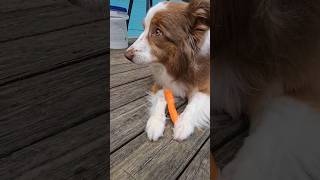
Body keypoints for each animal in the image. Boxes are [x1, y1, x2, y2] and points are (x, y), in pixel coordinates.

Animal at [123, 0, 210, 141]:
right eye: (144, 27)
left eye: (158, 32)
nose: (126, 55)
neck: (178, 66)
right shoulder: (160, 83)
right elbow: (160, 98)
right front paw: (155, 123)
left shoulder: (206, 89)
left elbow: (193, 105)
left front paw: (183, 124)